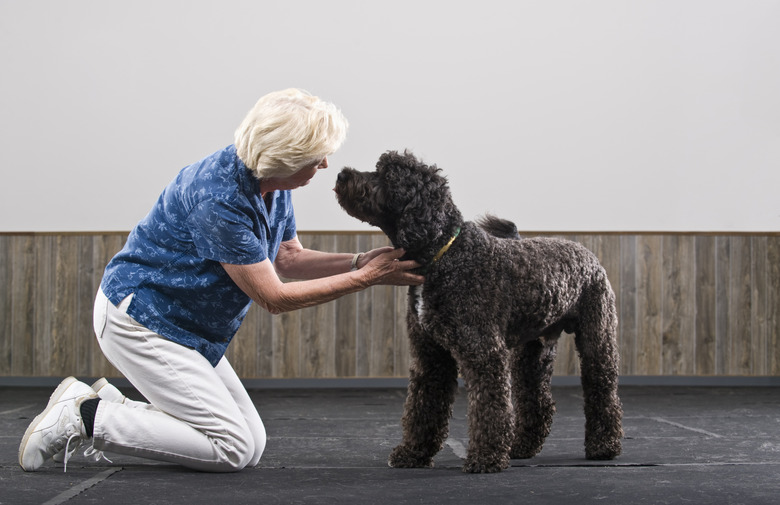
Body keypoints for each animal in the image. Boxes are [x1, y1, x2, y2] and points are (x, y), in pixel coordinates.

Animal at [334, 150, 620, 472]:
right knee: (538, 401)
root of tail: (588, 254)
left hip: (597, 340)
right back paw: (522, 446)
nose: (342, 174)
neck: (445, 255)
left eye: (387, 175)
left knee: (602, 390)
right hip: (532, 353)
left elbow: (489, 408)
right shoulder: (430, 355)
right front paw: (413, 452)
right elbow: (423, 406)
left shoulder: (483, 352)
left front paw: (486, 457)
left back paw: (604, 446)